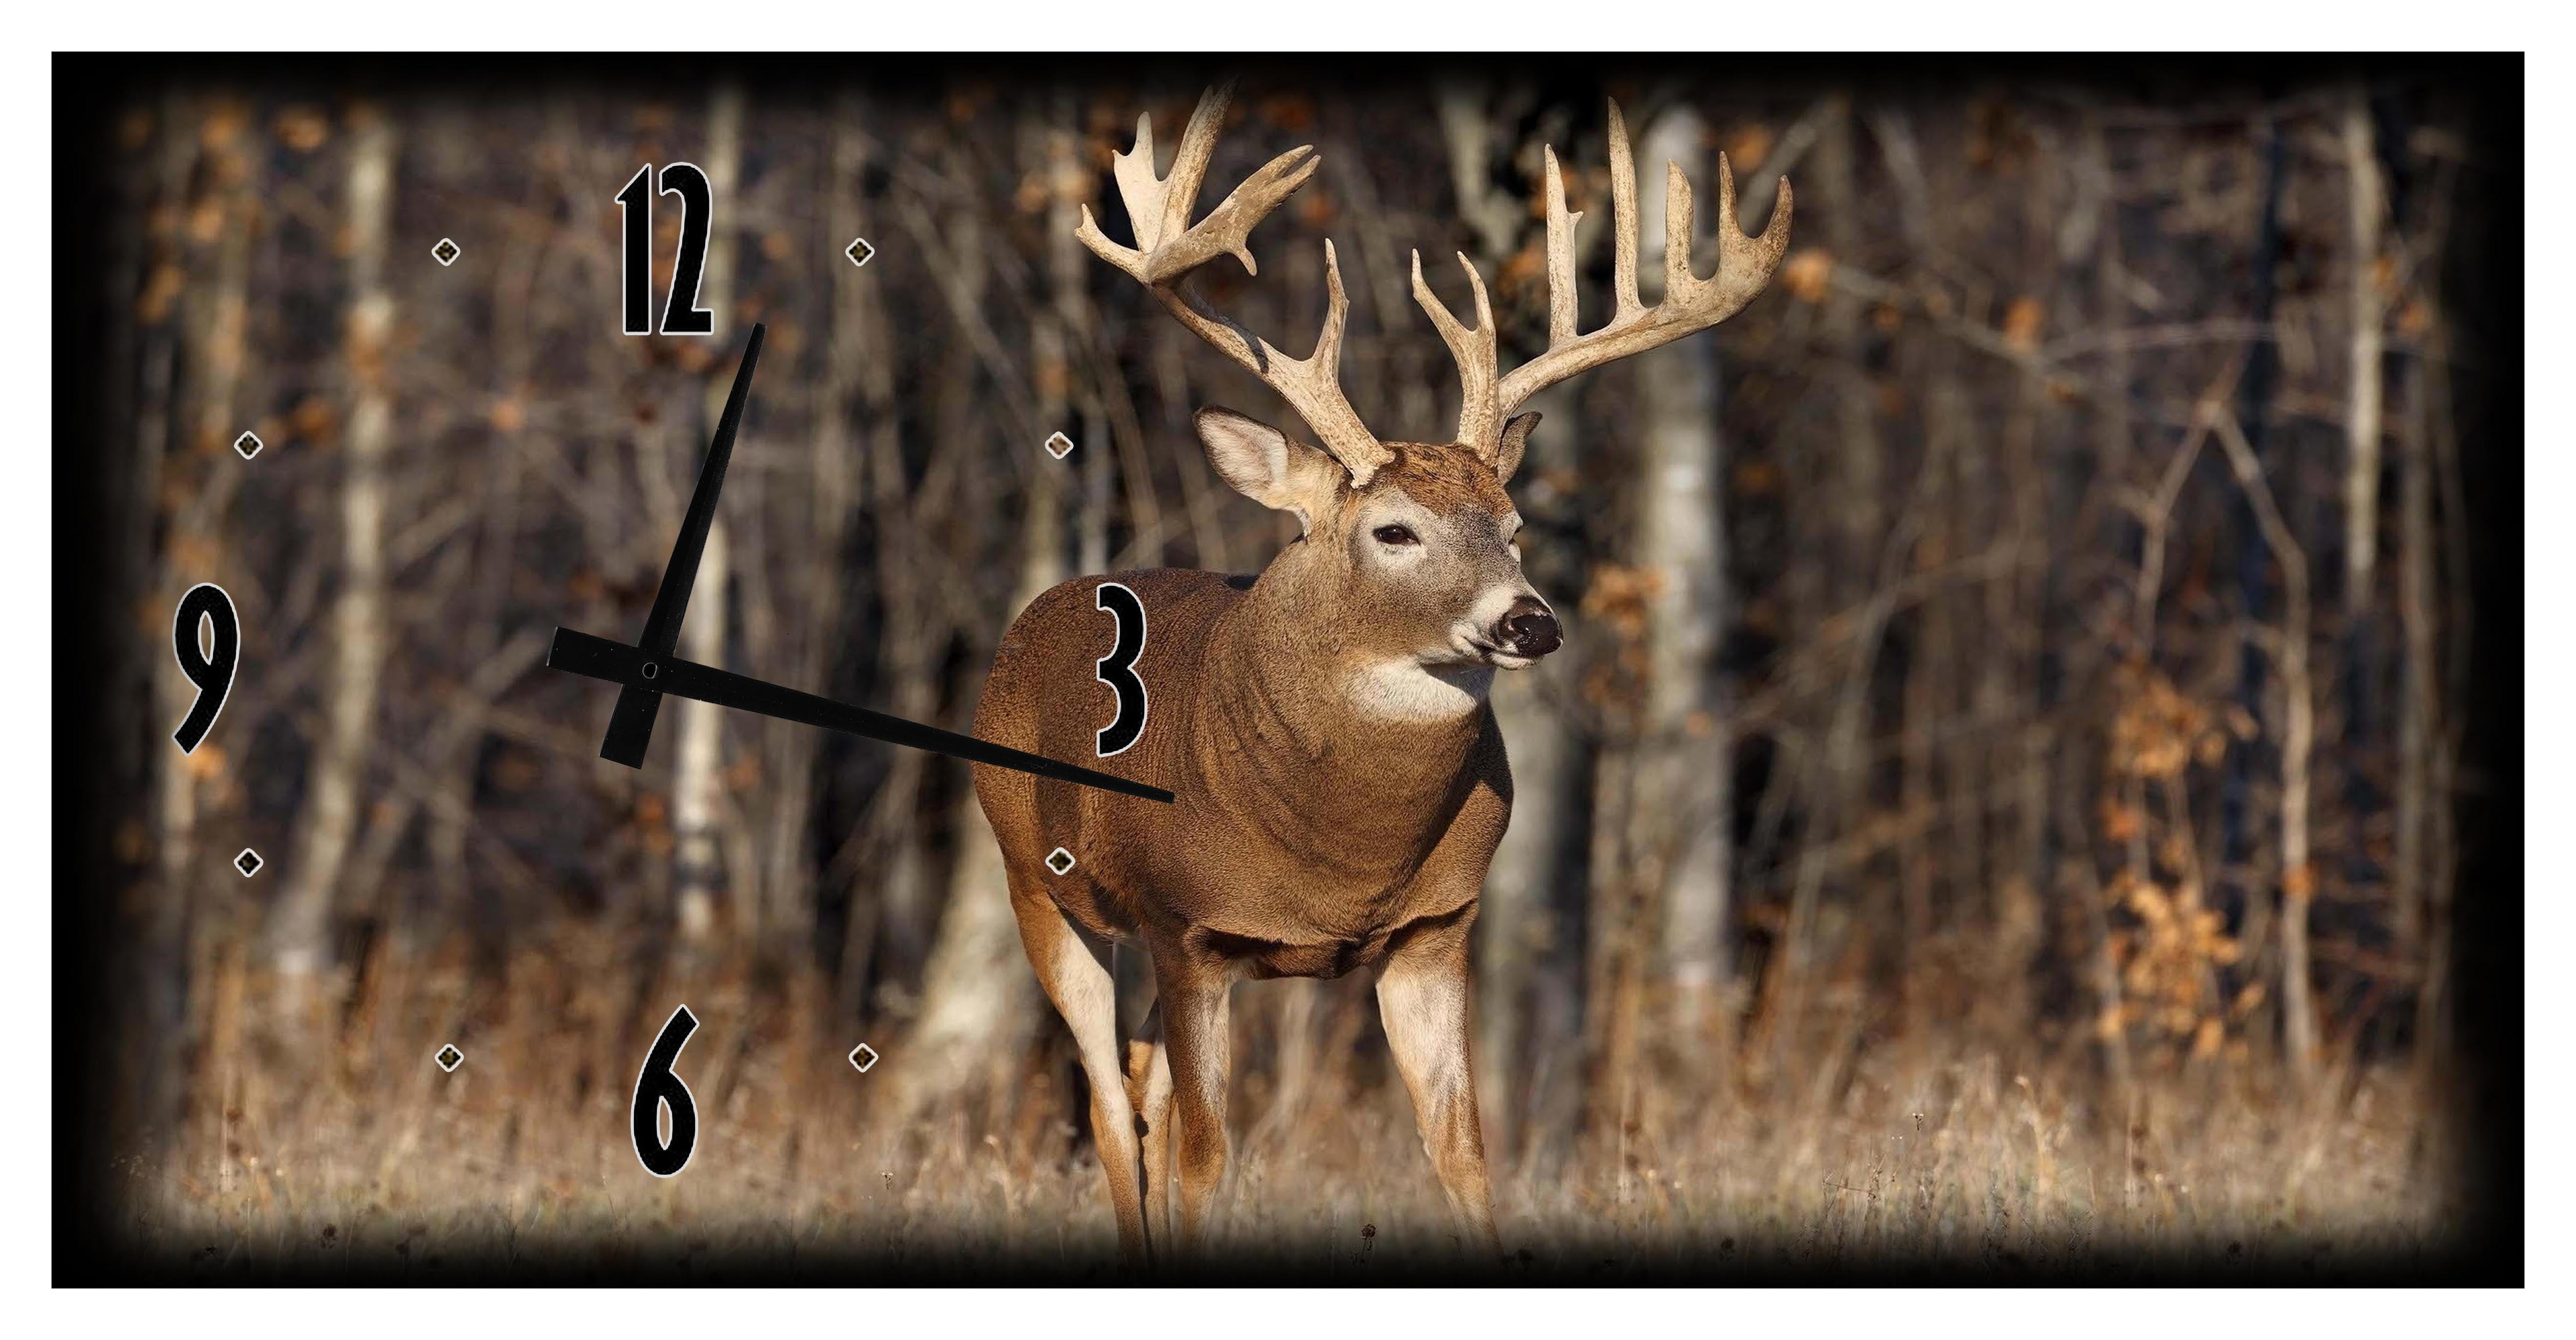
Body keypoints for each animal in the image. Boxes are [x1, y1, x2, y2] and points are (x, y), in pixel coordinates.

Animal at [967, 84, 1790, 1267]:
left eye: (1514, 527)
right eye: (1394, 530)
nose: (1530, 621)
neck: (1340, 854)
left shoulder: (1435, 931)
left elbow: (1462, 1153)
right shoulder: (1188, 929)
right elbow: (1208, 1158)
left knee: (1140, 1087)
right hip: (1036, 883)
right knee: (1111, 1111)